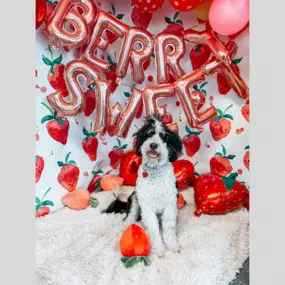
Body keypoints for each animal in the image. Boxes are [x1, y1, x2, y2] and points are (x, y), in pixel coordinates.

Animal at [102, 116, 182, 254]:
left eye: (163, 136)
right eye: (149, 134)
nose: (153, 145)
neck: (155, 172)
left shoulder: (170, 205)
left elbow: (169, 228)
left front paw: (172, 245)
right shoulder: (147, 207)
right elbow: (154, 230)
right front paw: (159, 248)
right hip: (135, 199)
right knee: (130, 217)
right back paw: (124, 226)